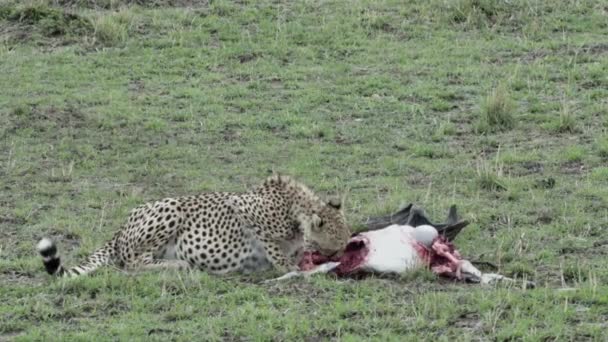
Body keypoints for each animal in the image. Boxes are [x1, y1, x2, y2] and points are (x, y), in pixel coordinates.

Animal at [36, 175, 352, 276]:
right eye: (334, 247)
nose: (340, 257)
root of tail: (121, 227)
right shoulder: (242, 208)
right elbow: (274, 249)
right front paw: (288, 267)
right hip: (171, 210)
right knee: (133, 263)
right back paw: (179, 265)